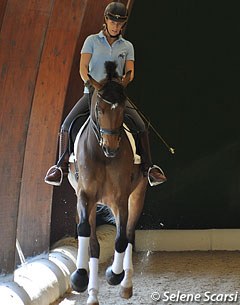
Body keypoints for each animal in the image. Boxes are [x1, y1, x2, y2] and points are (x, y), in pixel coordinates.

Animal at [67, 61, 148, 304]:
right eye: (99, 109)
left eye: (122, 109)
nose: (111, 148)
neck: (102, 156)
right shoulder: (85, 196)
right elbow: (86, 232)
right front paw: (80, 278)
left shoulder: (120, 198)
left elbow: (121, 238)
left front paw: (114, 274)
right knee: (93, 241)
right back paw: (91, 291)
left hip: (136, 196)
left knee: (128, 233)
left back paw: (125, 284)